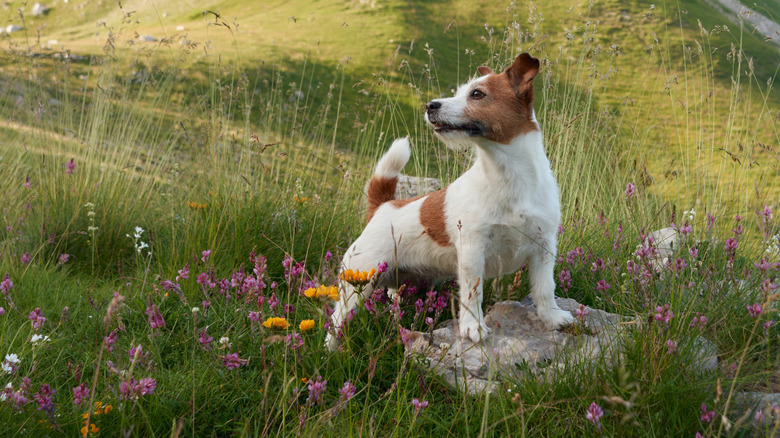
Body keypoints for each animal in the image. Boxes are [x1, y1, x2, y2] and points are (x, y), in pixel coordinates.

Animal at [322, 53, 572, 350]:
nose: (430, 105)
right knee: (336, 322)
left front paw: (552, 317)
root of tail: (382, 207)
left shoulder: (544, 246)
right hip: (358, 283)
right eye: (459, 91)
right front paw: (473, 327)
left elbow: (545, 288)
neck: (508, 175)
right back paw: (329, 352)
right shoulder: (473, 250)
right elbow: (473, 293)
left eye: (477, 94)